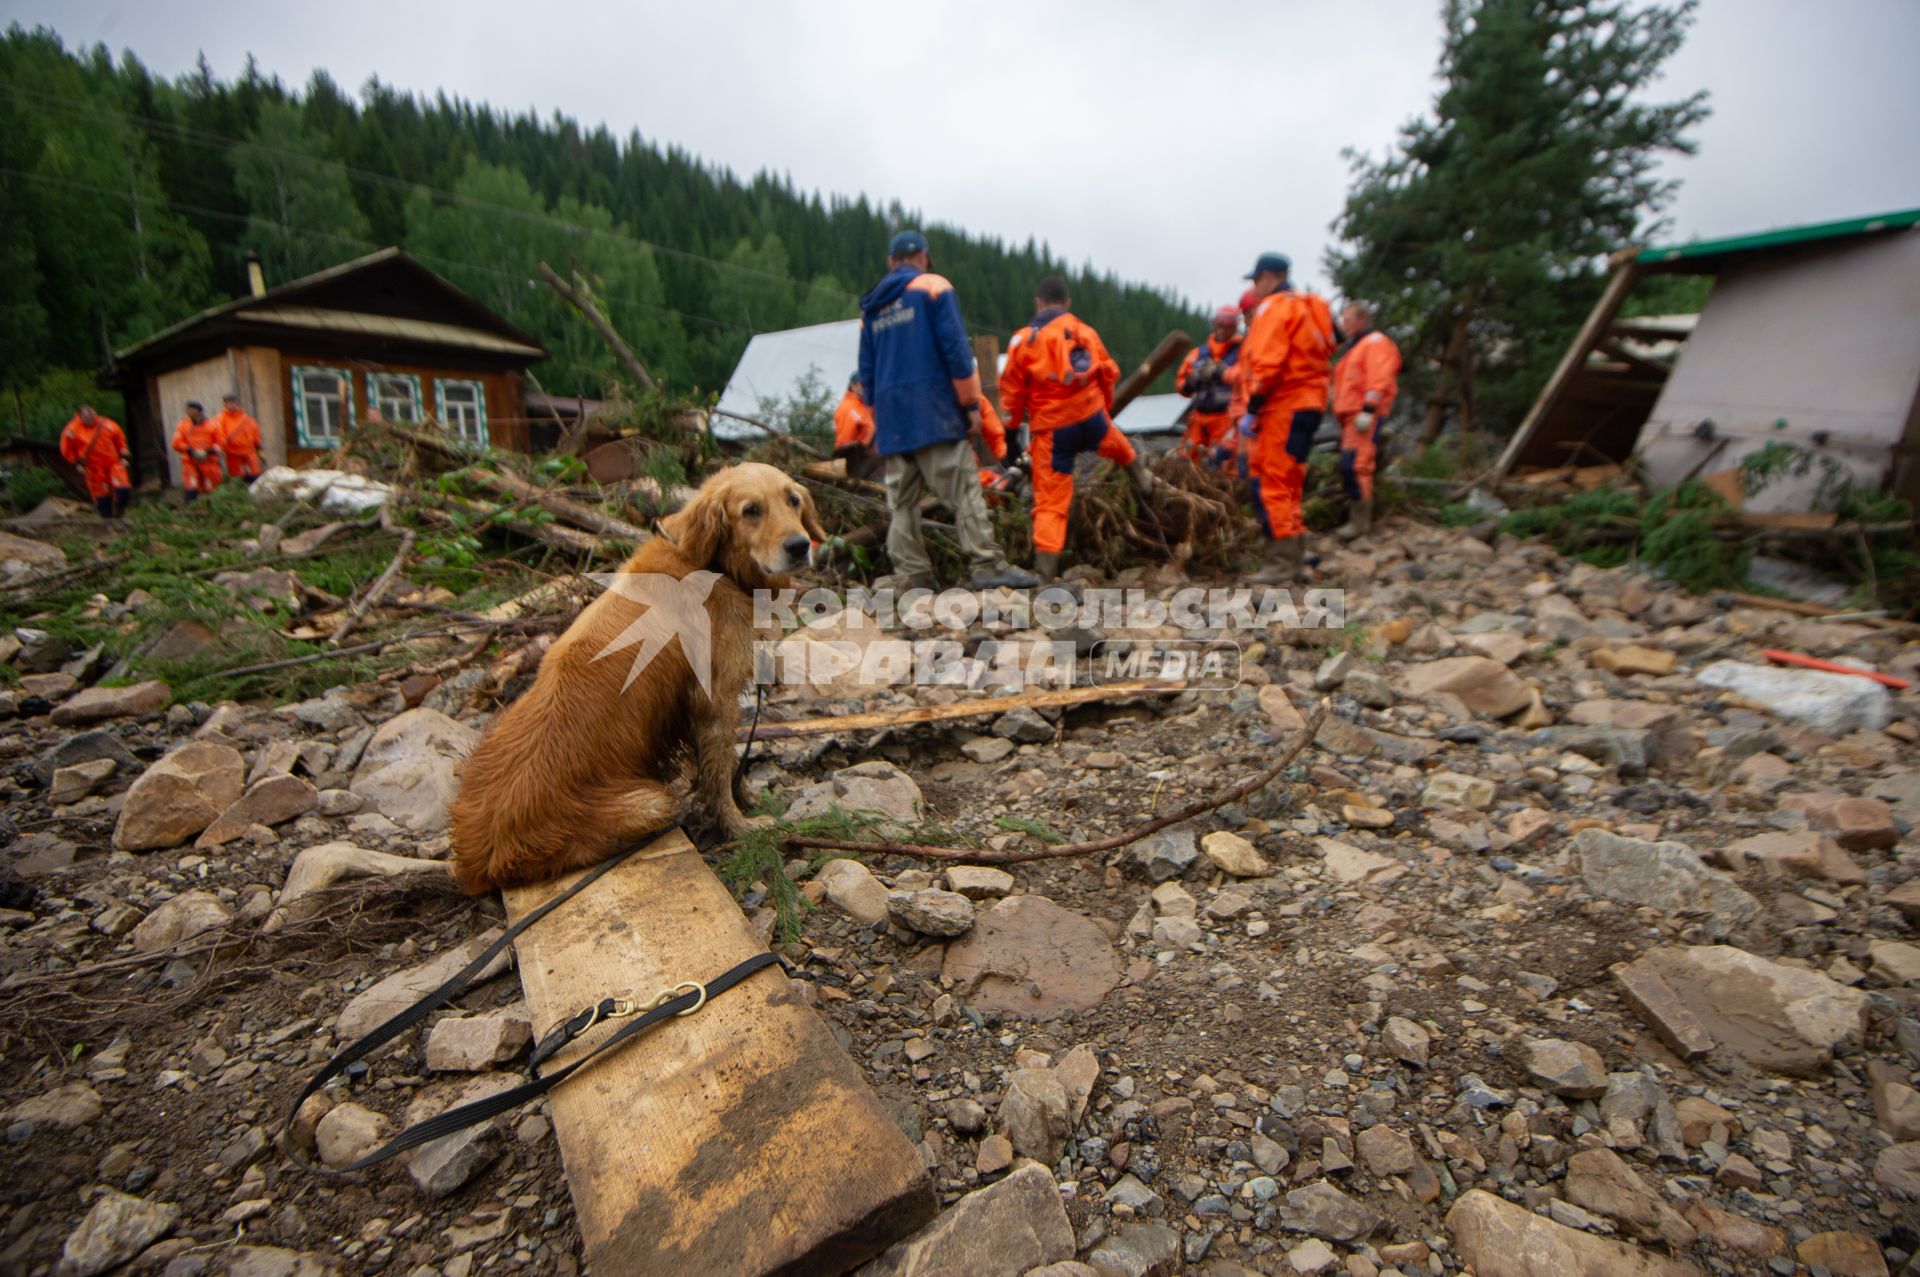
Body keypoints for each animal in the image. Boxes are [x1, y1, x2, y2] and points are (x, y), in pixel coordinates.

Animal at [451, 462, 825, 891]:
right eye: (751, 510)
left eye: (793, 500)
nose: (800, 545)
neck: (711, 564)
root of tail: (480, 859)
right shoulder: (713, 700)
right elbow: (718, 773)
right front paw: (738, 824)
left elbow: (719, 764)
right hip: (648, 801)